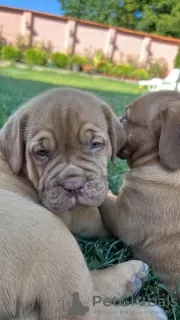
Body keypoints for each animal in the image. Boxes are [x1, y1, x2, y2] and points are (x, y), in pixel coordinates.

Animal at [0, 87, 166, 320]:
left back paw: (131, 277)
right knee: (78, 310)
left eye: (95, 145)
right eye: (41, 152)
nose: (73, 185)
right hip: (46, 228)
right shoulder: (89, 219)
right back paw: (146, 311)